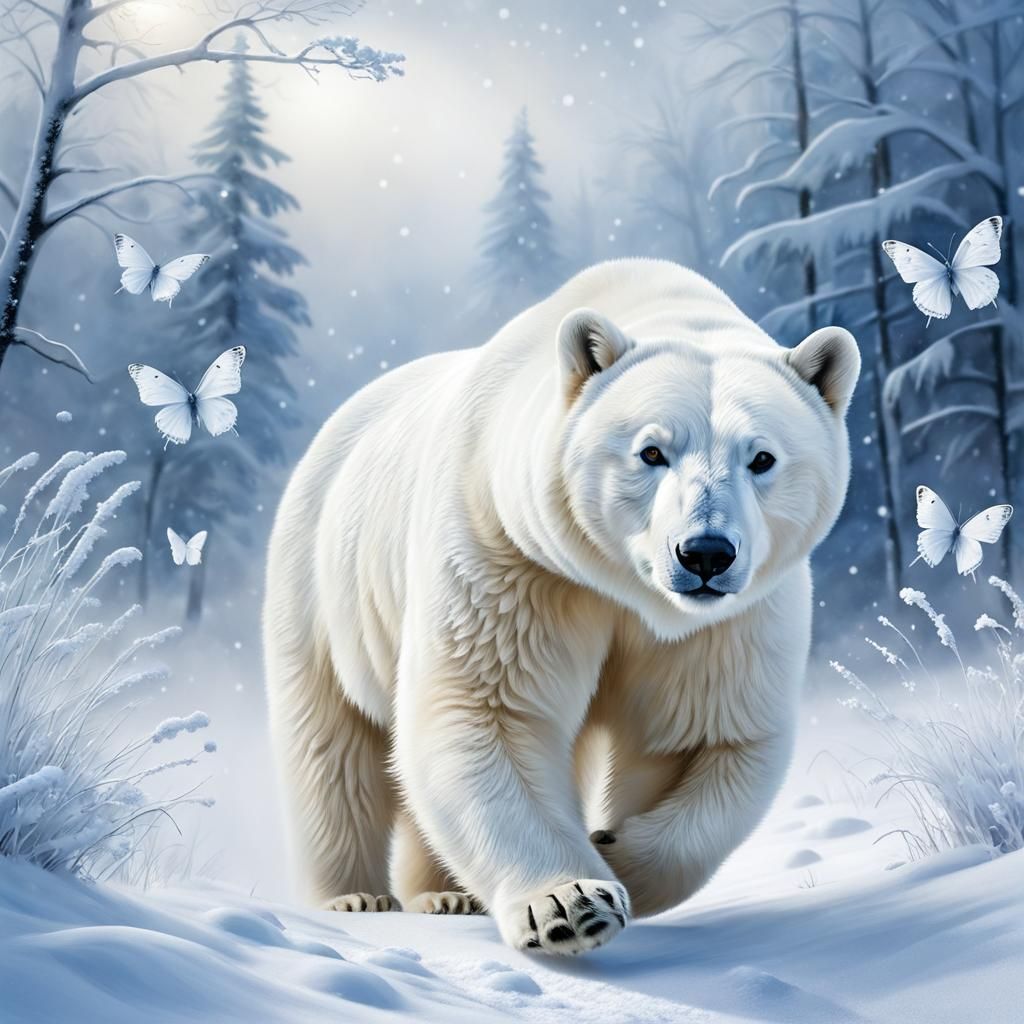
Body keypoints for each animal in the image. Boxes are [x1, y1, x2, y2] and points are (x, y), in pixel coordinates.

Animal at [263, 258, 860, 955]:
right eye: (651, 451)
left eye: (762, 457)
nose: (705, 554)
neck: (625, 588)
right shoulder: (513, 555)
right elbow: (486, 711)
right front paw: (572, 904)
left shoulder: (722, 623)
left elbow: (699, 735)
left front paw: (614, 850)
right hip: (320, 584)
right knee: (331, 750)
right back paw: (355, 895)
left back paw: (448, 894)